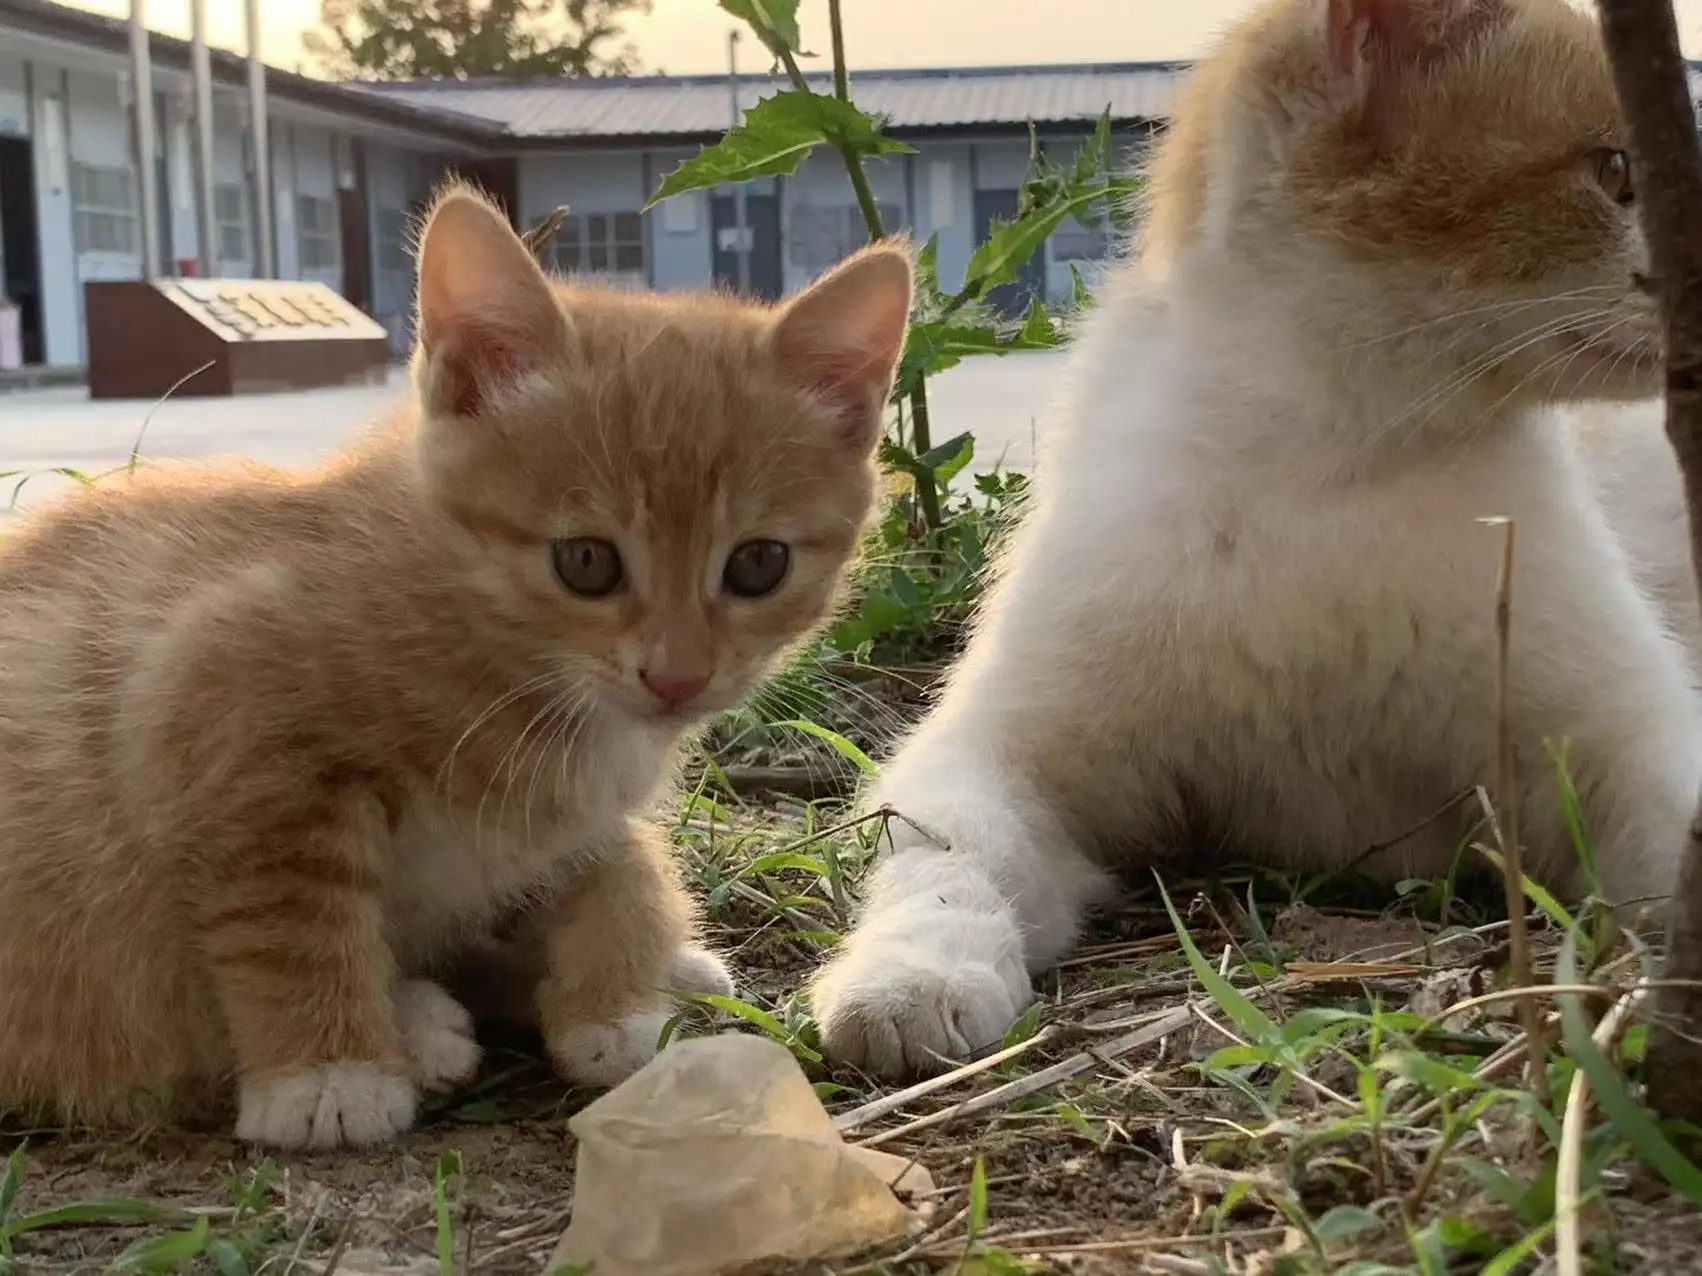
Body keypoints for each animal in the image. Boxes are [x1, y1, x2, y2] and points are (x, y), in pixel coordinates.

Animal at [0, 180, 919, 1150]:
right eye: (584, 562)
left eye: (758, 565)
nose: (677, 677)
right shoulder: (221, 714)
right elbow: (289, 915)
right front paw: (327, 1071)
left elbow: (621, 858)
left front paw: (621, 1001)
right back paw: (412, 1026)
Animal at [813, 0, 1702, 1082]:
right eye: (1617, 172)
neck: (1329, 469)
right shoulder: (997, 751)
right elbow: (944, 855)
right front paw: (909, 977)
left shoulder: (1637, 738)